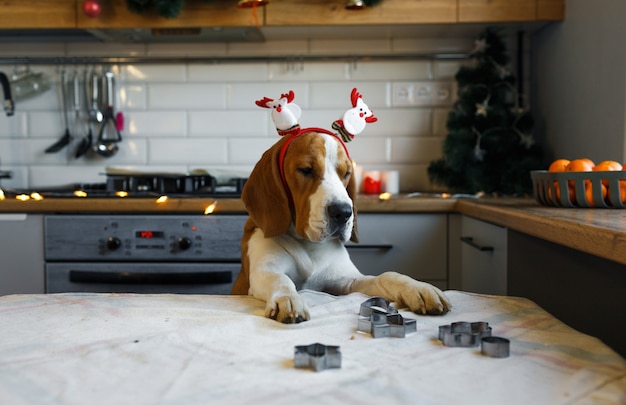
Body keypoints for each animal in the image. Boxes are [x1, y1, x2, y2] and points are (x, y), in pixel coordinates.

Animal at [230, 129, 448, 322]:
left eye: (346, 173)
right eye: (306, 170)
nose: (343, 212)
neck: (309, 246)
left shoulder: (347, 281)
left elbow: (386, 276)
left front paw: (417, 288)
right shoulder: (265, 271)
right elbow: (281, 280)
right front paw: (288, 299)